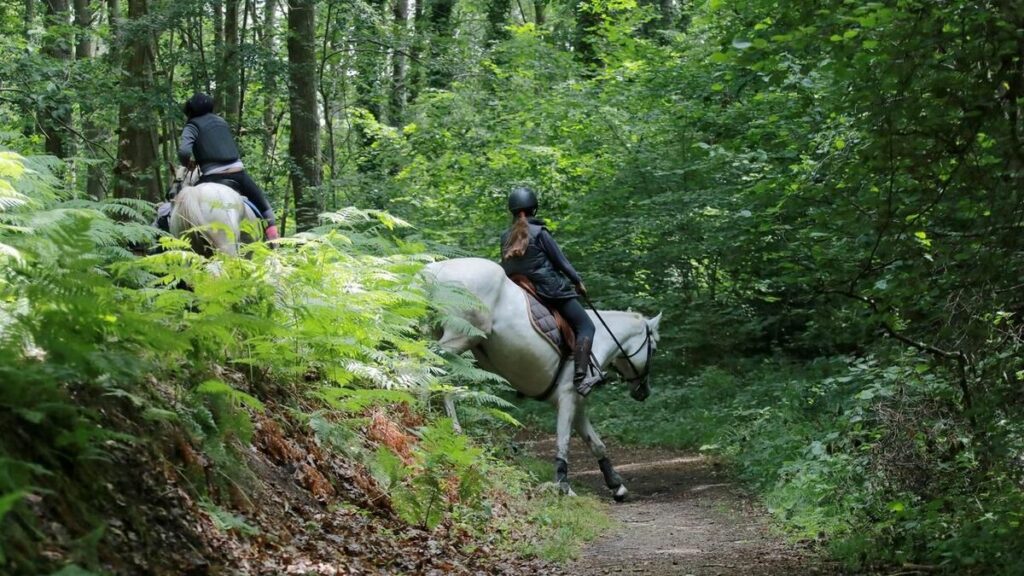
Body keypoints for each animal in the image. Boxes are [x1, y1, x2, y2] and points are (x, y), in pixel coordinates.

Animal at [419, 255, 659, 498]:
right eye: (655, 349)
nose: (644, 391)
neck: (600, 338)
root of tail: (434, 270)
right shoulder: (568, 397)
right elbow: (563, 442)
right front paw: (563, 486)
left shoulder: (578, 403)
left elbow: (596, 443)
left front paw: (616, 484)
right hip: (459, 337)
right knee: (427, 371)